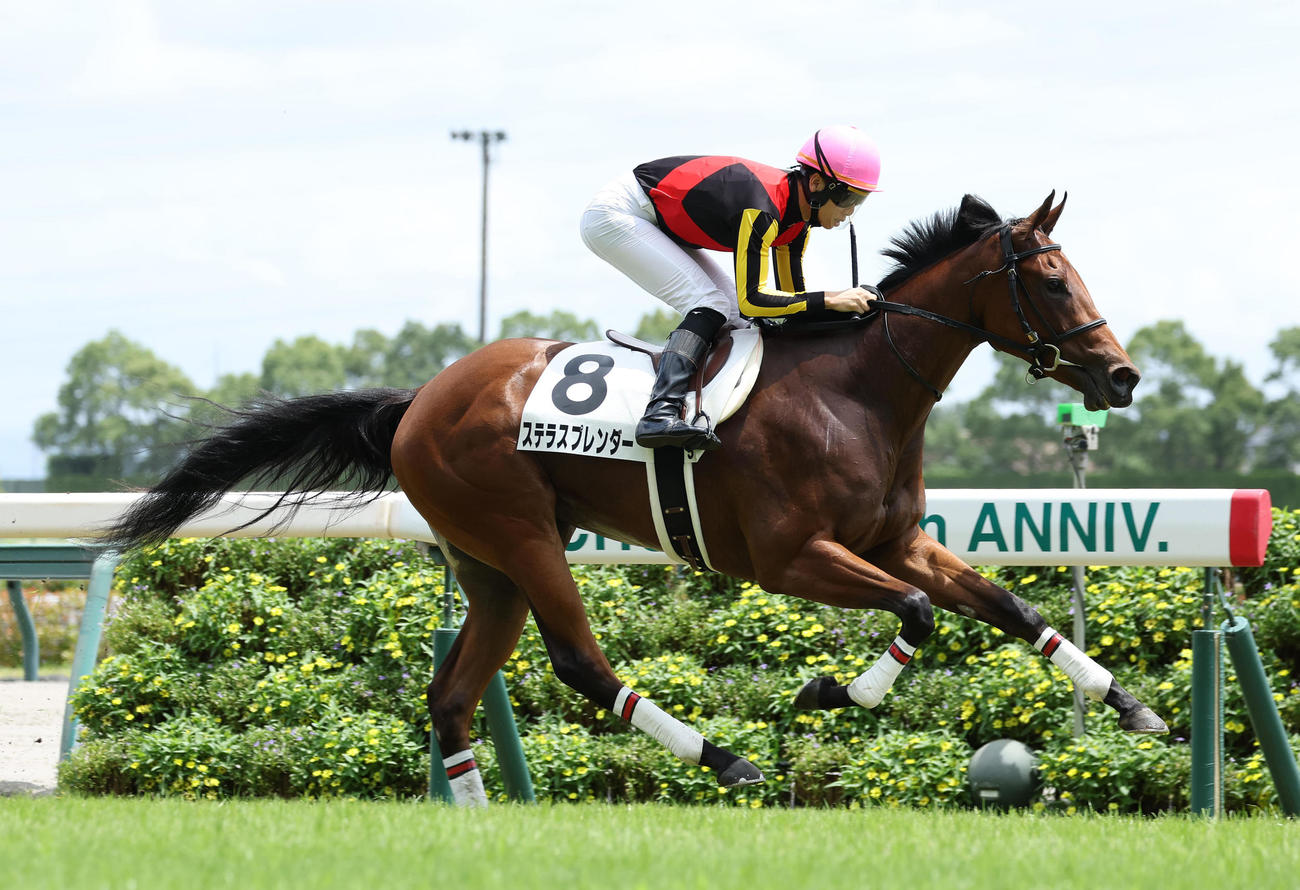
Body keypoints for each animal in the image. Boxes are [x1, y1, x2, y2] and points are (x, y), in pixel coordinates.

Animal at [103, 191, 1166, 806]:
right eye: (1051, 279)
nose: (1120, 376)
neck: (859, 390)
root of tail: (418, 402)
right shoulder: (789, 559)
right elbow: (915, 614)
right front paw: (829, 692)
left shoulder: (895, 541)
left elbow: (1005, 605)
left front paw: (1132, 706)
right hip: (521, 533)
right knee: (577, 661)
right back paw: (724, 760)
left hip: (487, 566)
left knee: (452, 698)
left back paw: (481, 822)